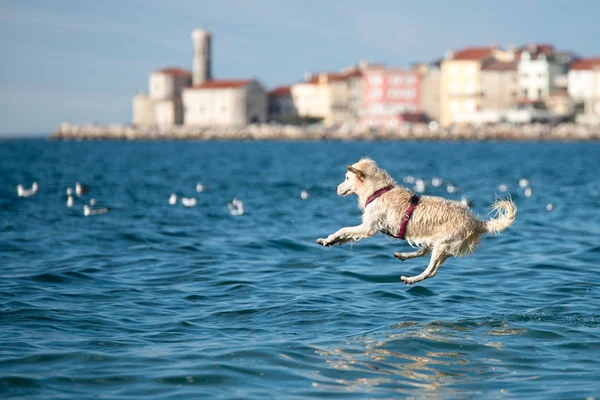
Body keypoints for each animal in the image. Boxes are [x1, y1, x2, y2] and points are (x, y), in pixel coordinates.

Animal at [316, 157, 516, 284]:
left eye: (346, 178)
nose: (335, 188)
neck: (379, 191)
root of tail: (477, 223)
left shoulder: (368, 227)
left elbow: (344, 230)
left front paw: (331, 238)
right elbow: (345, 235)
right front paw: (329, 241)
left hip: (443, 244)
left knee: (430, 271)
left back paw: (411, 279)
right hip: (436, 243)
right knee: (424, 253)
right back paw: (403, 256)